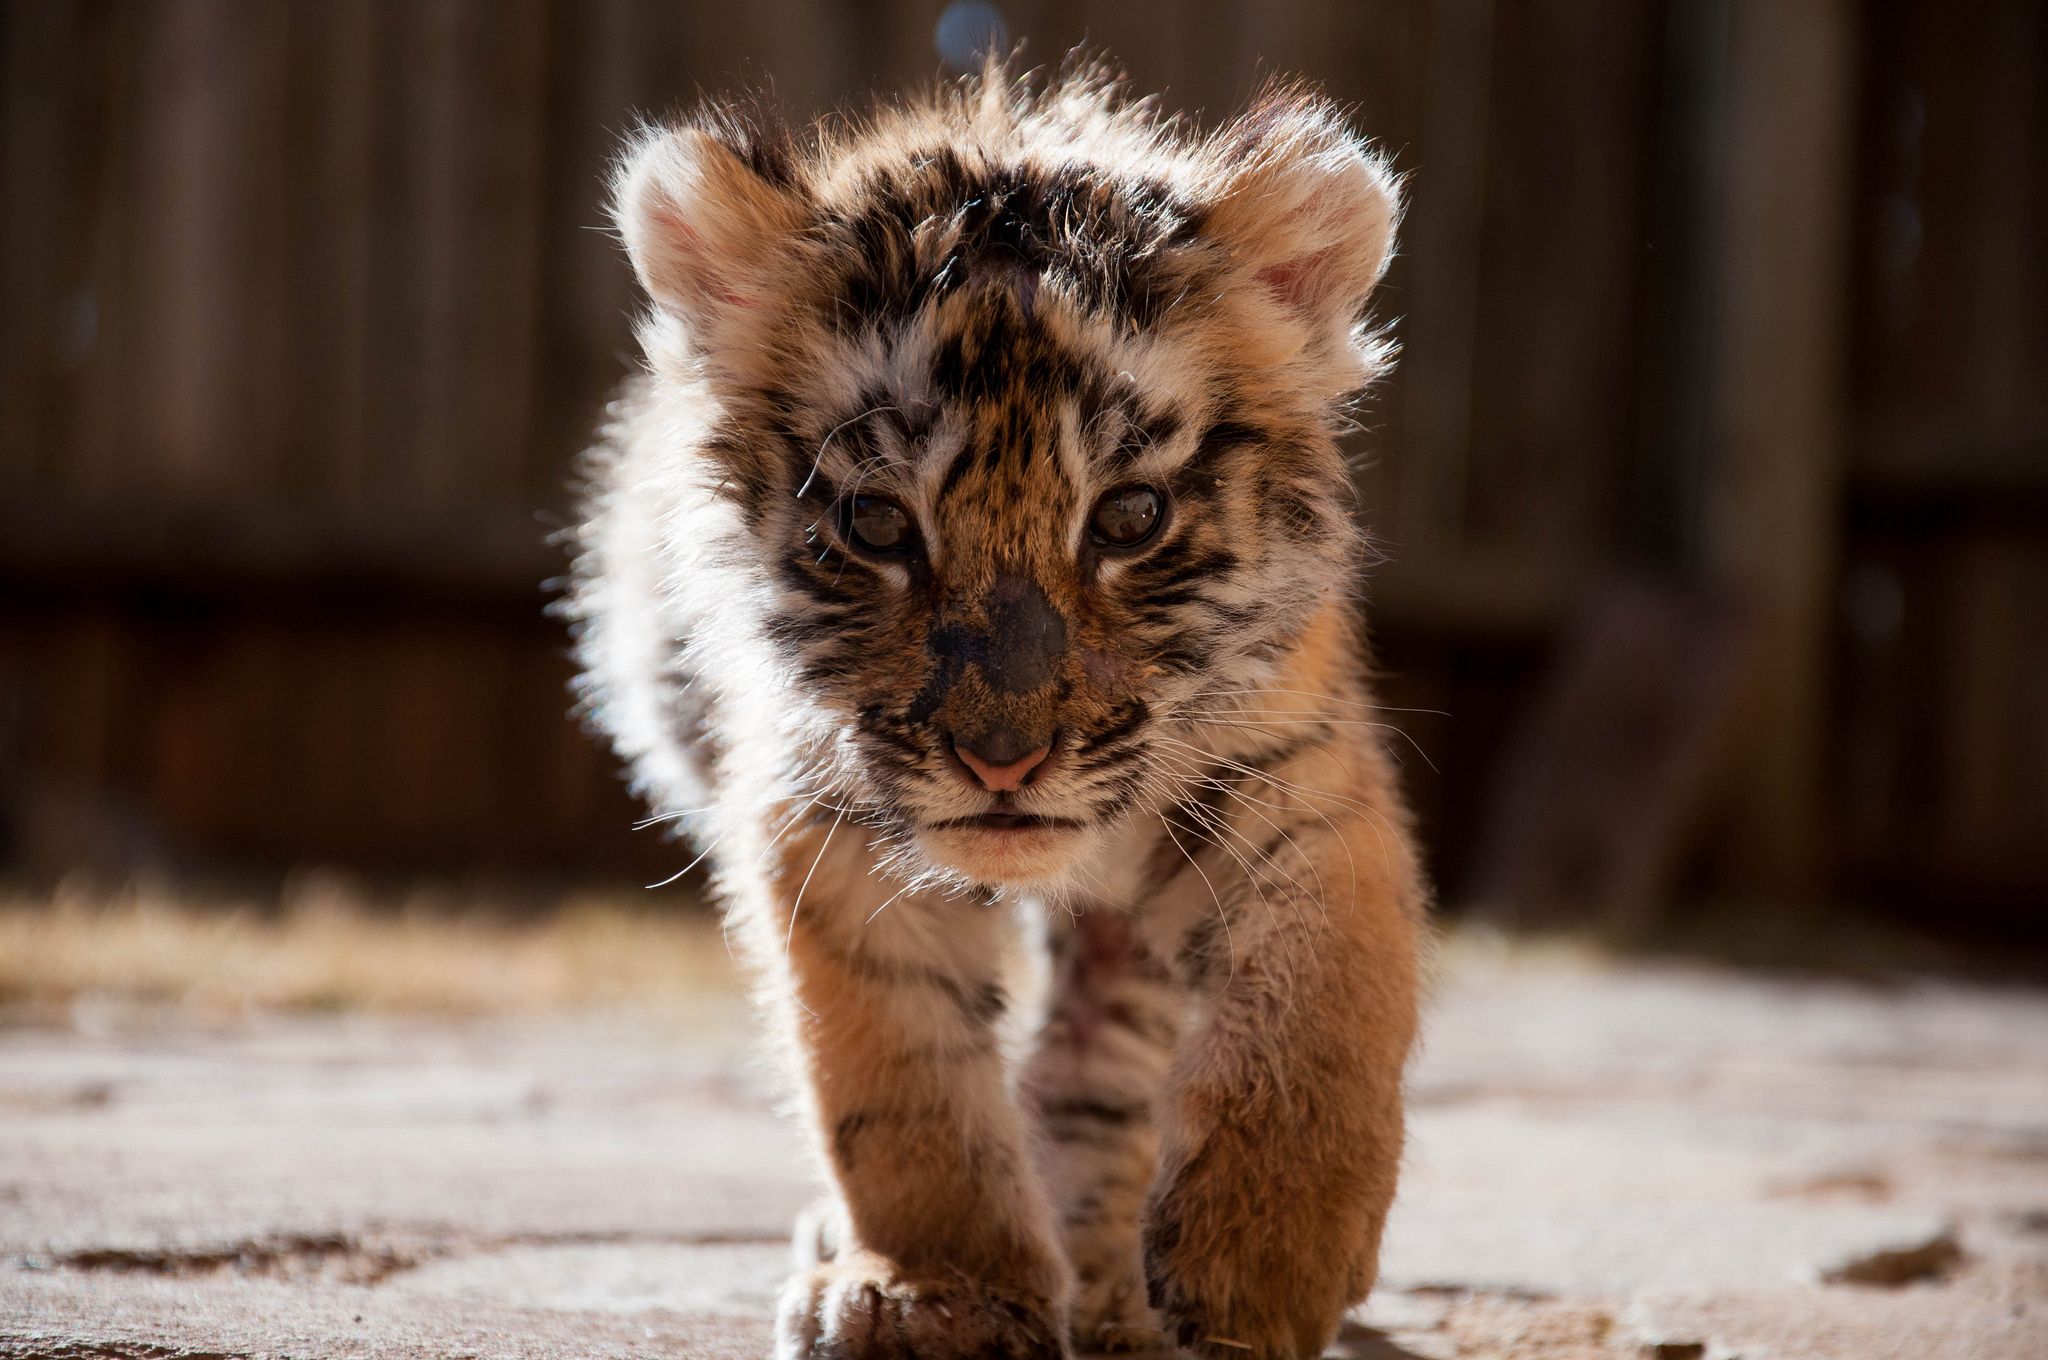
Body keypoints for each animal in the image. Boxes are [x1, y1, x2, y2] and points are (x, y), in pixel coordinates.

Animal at [567, 57, 1428, 1360]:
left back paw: (1112, 1277)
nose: (1003, 763)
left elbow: (1320, 990)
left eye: (1127, 517)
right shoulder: (821, 815)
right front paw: (935, 1290)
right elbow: (893, 1071)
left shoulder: (1287, 767)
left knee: (1107, 1051)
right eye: (877, 524)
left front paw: (1264, 1260)